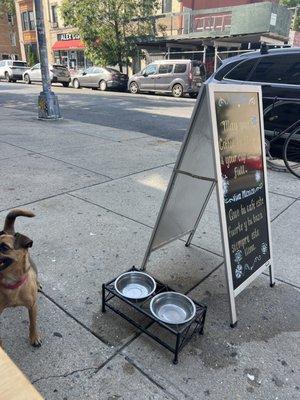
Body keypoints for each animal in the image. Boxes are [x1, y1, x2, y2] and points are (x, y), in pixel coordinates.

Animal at [0, 209, 41, 346]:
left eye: (4, 247)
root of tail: (10, 232)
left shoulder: (33, 306)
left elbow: (33, 324)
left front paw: (34, 337)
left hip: (32, 265)